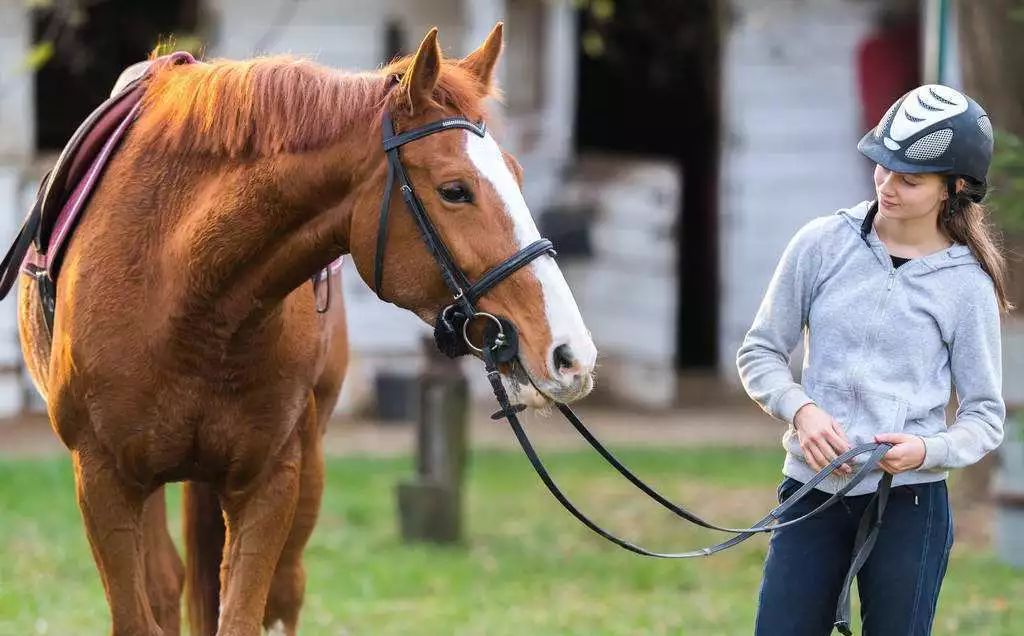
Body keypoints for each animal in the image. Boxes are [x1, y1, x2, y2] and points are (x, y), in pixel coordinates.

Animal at [16, 23, 598, 634]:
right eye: (455, 189)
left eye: (517, 175)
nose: (570, 354)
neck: (187, 294)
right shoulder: (103, 481)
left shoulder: (270, 482)